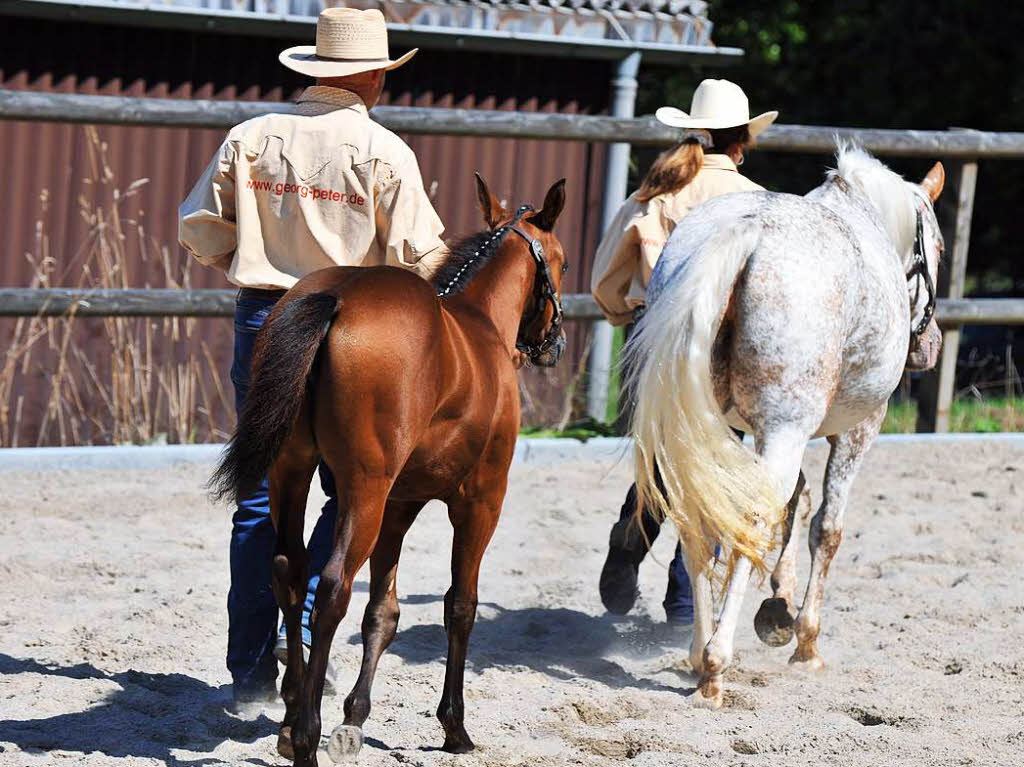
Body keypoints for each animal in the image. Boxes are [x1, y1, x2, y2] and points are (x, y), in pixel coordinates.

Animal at [212, 175, 573, 765]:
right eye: (561, 263)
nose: (553, 344)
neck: (479, 328)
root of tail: (336, 297)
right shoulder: (480, 501)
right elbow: (460, 605)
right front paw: (454, 726)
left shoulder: (401, 504)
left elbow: (383, 611)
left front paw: (355, 717)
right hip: (365, 490)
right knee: (332, 588)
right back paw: (307, 736)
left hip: (293, 472)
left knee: (289, 570)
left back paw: (290, 719)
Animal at [626, 143, 946, 704]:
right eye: (941, 250)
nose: (931, 346)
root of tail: (749, 230)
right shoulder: (856, 429)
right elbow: (826, 528)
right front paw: (805, 641)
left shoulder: (754, 430)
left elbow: (794, 505)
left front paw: (777, 609)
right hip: (786, 430)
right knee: (748, 520)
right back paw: (715, 665)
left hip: (704, 428)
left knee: (698, 521)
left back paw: (698, 653)